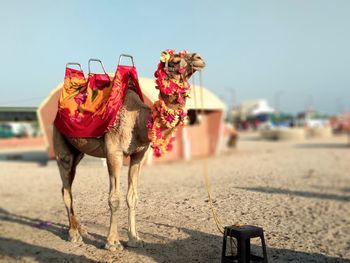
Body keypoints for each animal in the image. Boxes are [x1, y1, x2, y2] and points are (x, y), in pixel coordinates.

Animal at [52, 50, 205, 252]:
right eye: (173, 61)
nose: (198, 58)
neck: (139, 121)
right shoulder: (114, 153)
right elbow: (114, 198)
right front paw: (113, 242)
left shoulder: (138, 155)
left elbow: (132, 197)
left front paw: (134, 238)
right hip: (61, 146)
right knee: (66, 188)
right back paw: (74, 235)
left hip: (78, 152)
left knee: (66, 186)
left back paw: (81, 229)